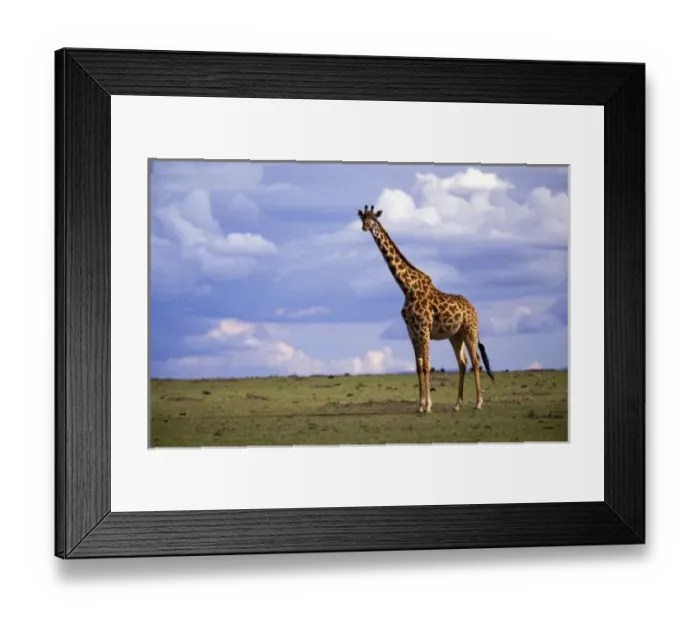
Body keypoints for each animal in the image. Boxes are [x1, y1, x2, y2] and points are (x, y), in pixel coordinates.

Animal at [357, 205, 495, 413]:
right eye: (362, 218)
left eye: (374, 219)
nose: (365, 227)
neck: (407, 288)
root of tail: (474, 308)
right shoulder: (411, 331)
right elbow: (419, 366)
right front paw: (420, 405)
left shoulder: (424, 328)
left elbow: (427, 364)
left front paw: (428, 405)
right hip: (456, 335)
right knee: (462, 362)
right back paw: (457, 404)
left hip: (470, 331)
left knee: (476, 361)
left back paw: (478, 403)